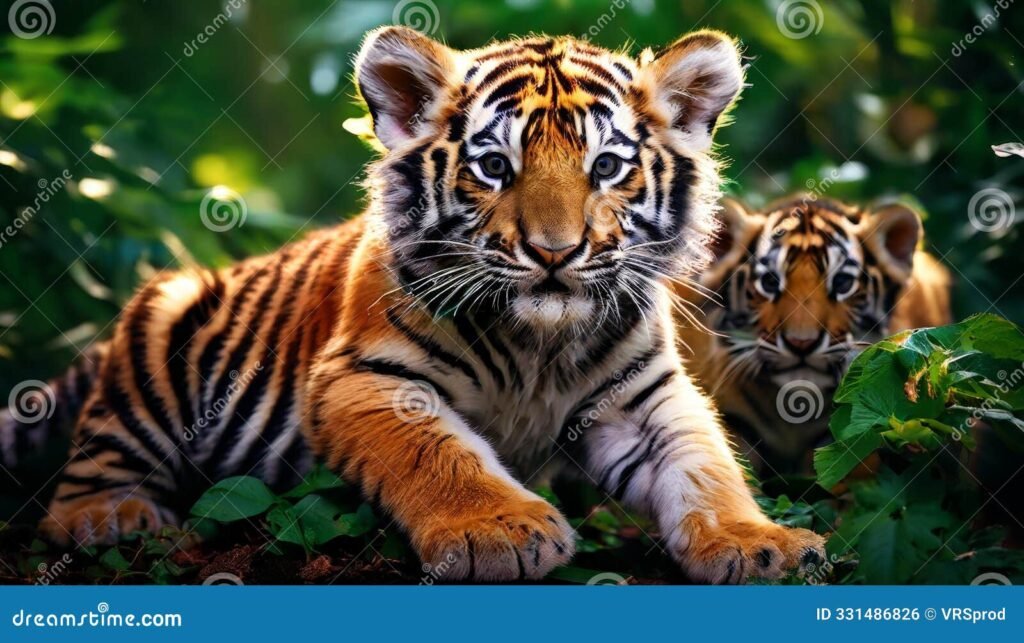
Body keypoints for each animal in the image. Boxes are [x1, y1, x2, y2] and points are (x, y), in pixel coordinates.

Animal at [0, 26, 824, 583]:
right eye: (494, 167)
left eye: (608, 167)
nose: (554, 252)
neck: (538, 344)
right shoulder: (365, 379)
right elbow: (440, 454)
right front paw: (502, 531)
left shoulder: (644, 395)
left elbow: (705, 462)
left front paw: (758, 540)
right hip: (158, 331)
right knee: (82, 480)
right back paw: (114, 516)